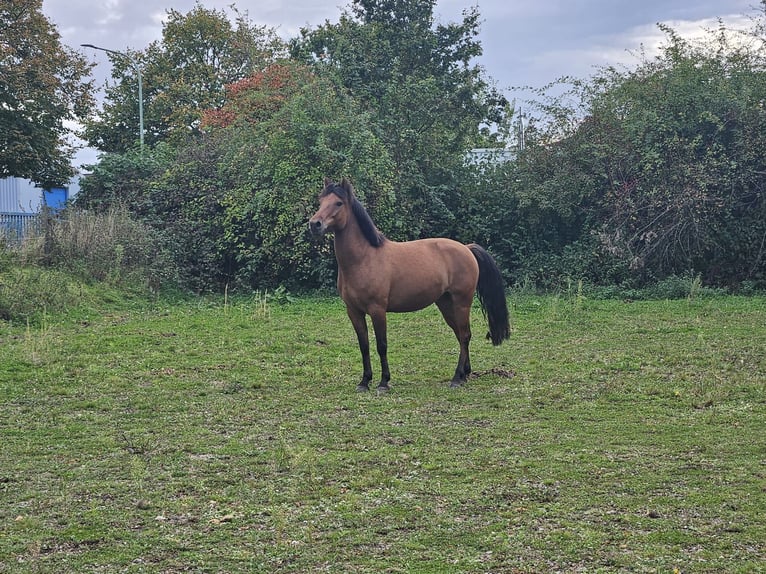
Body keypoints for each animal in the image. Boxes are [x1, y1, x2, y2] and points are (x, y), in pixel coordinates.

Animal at [308, 178, 512, 394]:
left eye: (338, 203)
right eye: (321, 201)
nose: (314, 224)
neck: (364, 259)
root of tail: (466, 248)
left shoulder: (377, 310)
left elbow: (381, 345)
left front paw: (383, 382)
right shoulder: (354, 311)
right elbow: (364, 345)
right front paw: (364, 381)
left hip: (462, 303)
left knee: (465, 335)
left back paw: (457, 378)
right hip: (446, 304)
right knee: (460, 335)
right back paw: (465, 374)